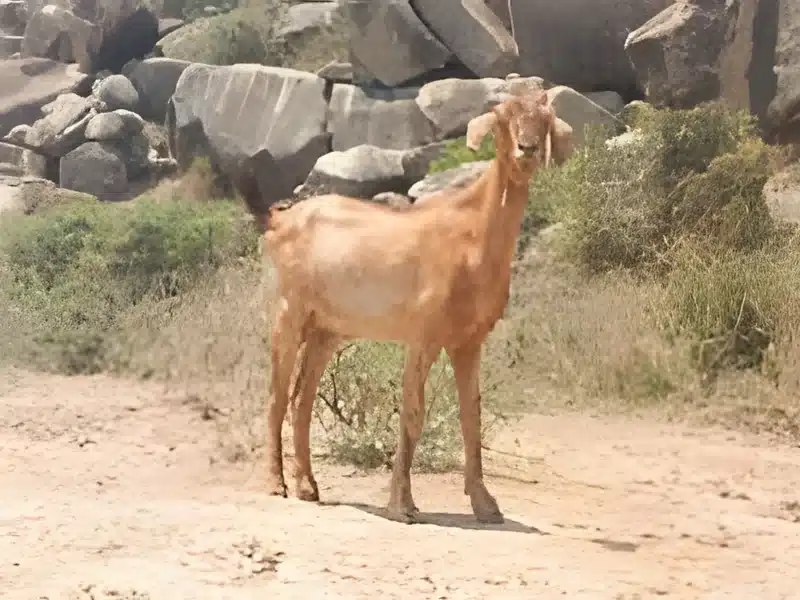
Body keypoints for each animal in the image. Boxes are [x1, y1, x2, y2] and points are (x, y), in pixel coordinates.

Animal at [262, 89, 568, 524]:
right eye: (502, 117)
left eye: (544, 118)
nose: (526, 149)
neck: (473, 236)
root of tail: (279, 221)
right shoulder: (423, 337)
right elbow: (412, 411)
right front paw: (402, 503)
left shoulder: (468, 342)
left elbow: (471, 415)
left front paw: (485, 503)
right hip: (289, 314)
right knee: (277, 395)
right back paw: (277, 483)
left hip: (326, 331)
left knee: (301, 400)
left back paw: (308, 485)